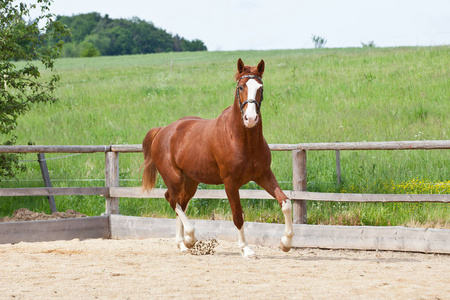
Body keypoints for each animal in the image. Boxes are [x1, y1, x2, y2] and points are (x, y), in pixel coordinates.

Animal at [142, 58, 294, 258]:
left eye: (260, 87)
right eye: (240, 87)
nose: (250, 118)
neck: (242, 140)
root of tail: (163, 130)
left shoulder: (264, 175)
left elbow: (286, 203)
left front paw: (285, 243)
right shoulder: (230, 182)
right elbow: (238, 215)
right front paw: (246, 249)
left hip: (191, 181)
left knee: (180, 203)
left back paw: (182, 244)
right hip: (173, 178)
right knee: (172, 200)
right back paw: (189, 238)